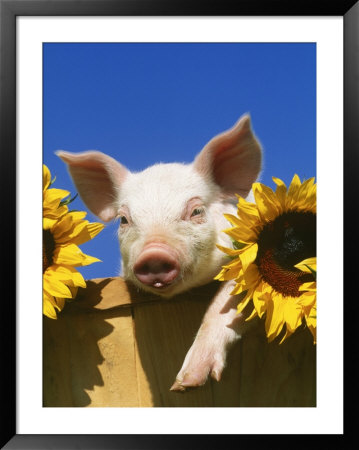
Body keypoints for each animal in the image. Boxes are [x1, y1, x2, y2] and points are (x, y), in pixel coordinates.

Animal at [57, 114, 262, 392]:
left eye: (196, 211)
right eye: (123, 219)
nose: (153, 254)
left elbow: (231, 296)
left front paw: (184, 384)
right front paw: (181, 386)